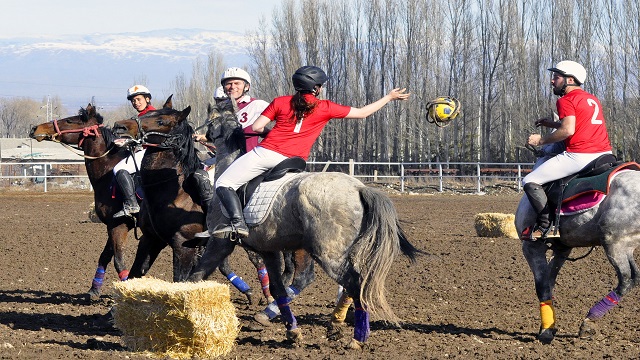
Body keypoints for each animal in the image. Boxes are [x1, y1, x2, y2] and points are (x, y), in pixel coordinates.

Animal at [136, 100, 420, 350]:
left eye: (161, 120)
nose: (197, 135)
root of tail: (359, 187)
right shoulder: (268, 251)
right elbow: (279, 289)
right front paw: (292, 332)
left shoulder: (217, 243)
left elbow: (195, 277)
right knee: (349, 282)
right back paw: (335, 325)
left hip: (327, 254)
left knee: (352, 282)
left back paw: (355, 337)